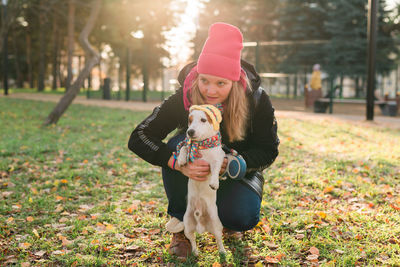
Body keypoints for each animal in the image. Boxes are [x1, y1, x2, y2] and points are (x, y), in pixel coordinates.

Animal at [166, 104, 227, 255]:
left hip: (217, 225)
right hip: (187, 224)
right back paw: (194, 252)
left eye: (203, 120)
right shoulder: (188, 146)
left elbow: (215, 169)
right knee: (192, 239)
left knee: (219, 239)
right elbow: (184, 147)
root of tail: (201, 226)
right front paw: (181, 159)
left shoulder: (218, 159)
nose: (190, 132)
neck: (202, 145)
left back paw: (222, 252)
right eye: (190, 120)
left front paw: (214, 182)